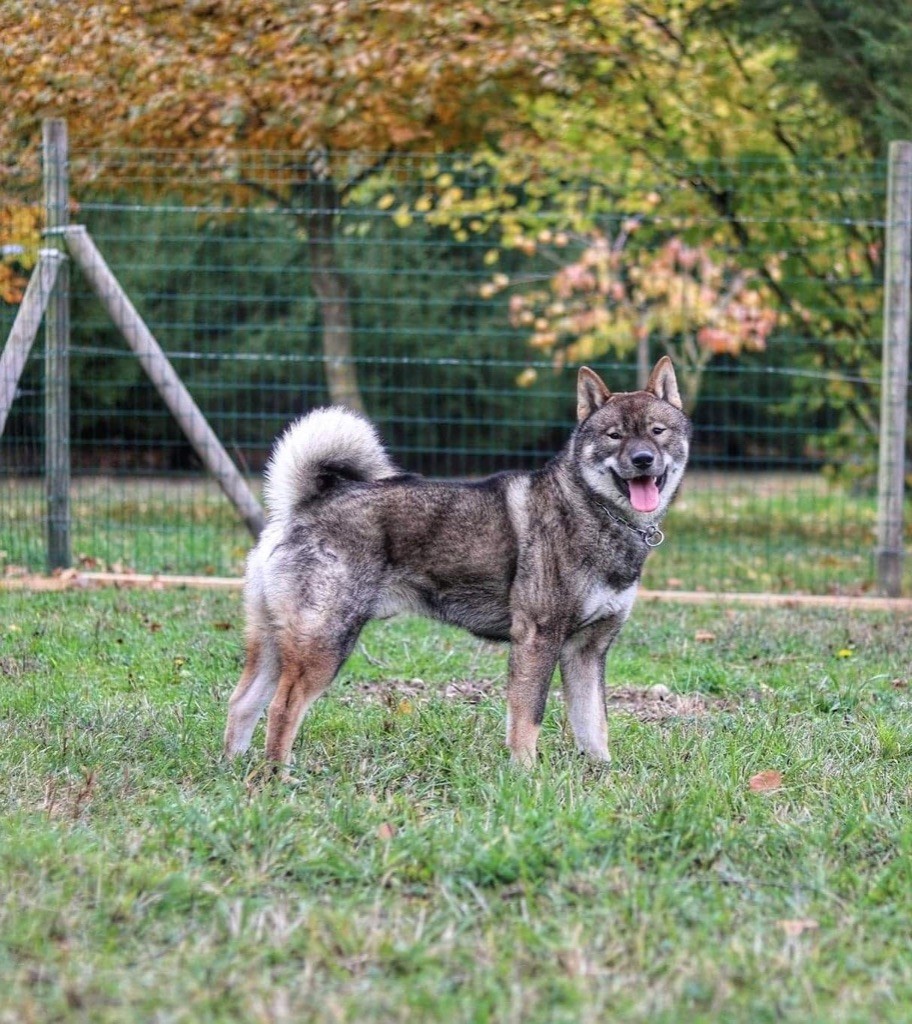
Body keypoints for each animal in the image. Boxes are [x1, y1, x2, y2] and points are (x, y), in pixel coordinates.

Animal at [226, 360, 691, 770]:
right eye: (614, 436)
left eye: (657, 431)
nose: (643, 459)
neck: (593, 512)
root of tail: (303, 507)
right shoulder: (538, 639)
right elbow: (529, 717)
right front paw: (527, 774)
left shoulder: (587, 651)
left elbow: (594, 724)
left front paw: (602, 773)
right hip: (323, 644)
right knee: (282, 708)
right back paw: (278, 775)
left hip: (276, 643)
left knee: (242, 703)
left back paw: (237, 768)